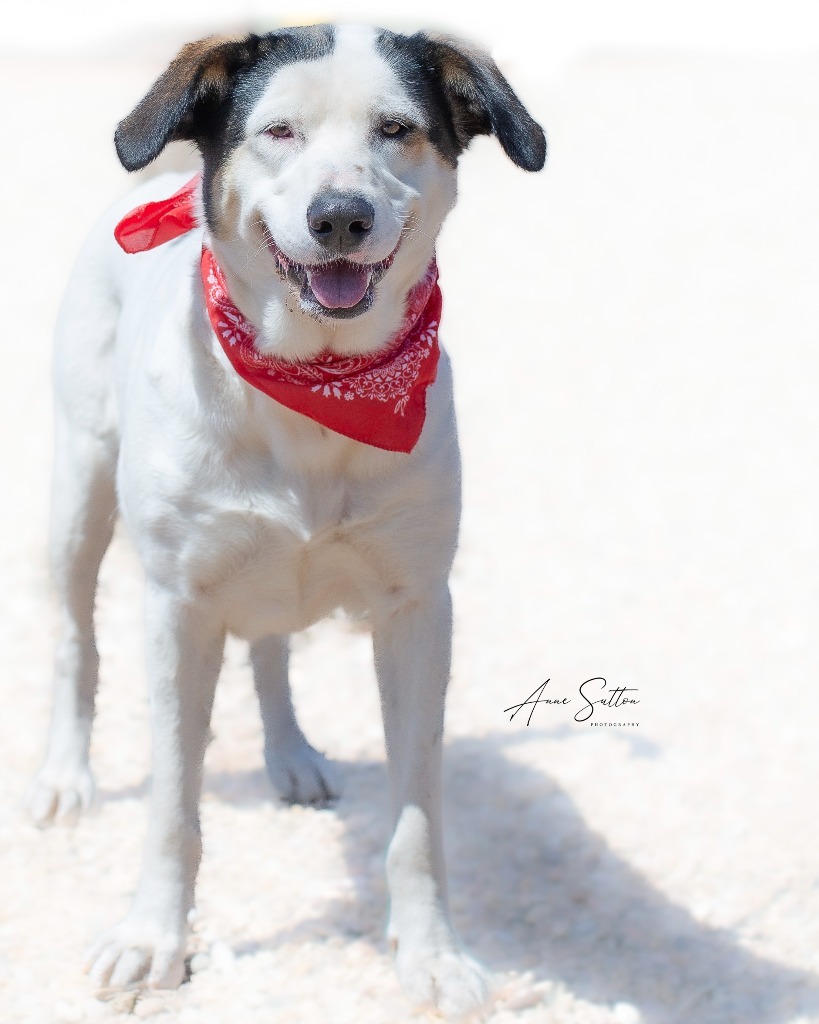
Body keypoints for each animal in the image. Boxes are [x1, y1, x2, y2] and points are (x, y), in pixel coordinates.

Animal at [28, 22, 548, 1015]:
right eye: (277, 132)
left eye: (395, 129)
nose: (339, 216)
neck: (317, 383)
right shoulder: (177, 604)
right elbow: (172, 805)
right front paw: (153, 940)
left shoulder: (418, 606)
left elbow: (417, 812)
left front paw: (432, 954)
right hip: (77, 487)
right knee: (74, 636)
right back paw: (65, 778)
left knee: (269, 644)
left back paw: (291, 753)